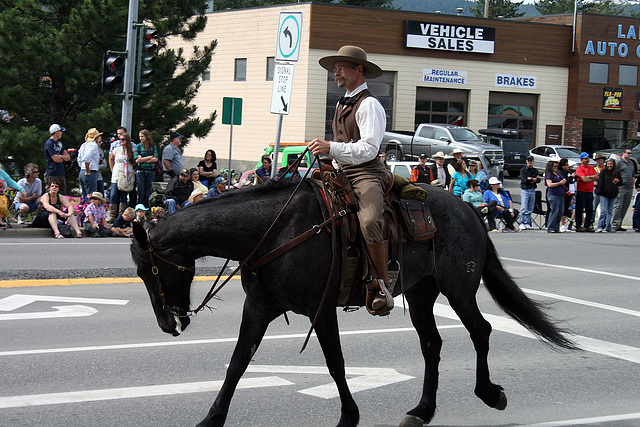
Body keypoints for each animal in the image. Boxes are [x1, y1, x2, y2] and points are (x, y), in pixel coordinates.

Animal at [130, 181, 576, 427]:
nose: (168, 324)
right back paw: (422, 411)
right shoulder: (258, 308)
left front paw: (349, 417)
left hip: (459, 289)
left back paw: (488, 393)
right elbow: (238, 363)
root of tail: (468, 206)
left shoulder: (321, 308)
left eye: (148, 270)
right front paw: (211, 418)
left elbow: (336, 363)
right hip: (421, 294)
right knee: (432, 345)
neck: (273, 230)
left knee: (480, 330)